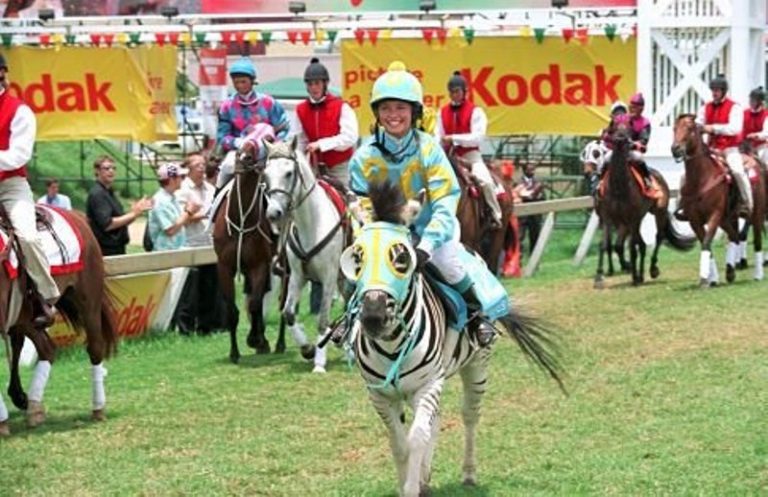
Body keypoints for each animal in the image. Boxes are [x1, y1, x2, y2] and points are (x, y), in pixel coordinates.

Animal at [338, 180, 565, 497]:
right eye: (357, 257)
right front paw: (411, 481)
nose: (373, 316)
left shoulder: (427, 384)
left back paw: (468, 473)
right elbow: (399, 443)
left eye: (401, 258)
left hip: (477, 367)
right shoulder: (380, 395)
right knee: (436, 421)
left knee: (469, 415)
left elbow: (417, 437)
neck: (392, 343)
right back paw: (426, 476)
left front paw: (412, 486)